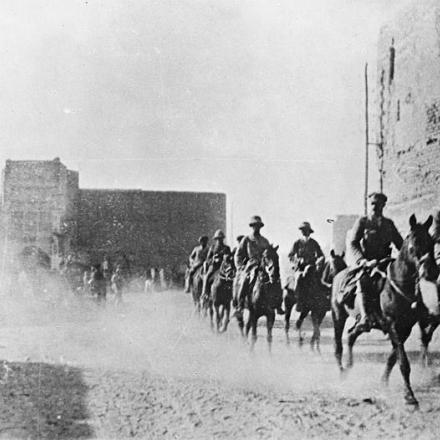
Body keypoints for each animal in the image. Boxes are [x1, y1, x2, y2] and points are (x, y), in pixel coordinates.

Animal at [332, 215, 438, 408]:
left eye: (432, 242)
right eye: (413, 245)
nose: (431, 271)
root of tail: (338, 275)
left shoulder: (404, 329)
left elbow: (393, 358)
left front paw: (384, 383)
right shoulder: (393, 326)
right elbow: (403, 362)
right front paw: (410, 396)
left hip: (363, 323)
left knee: (351, 335)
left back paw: (349, 367)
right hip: (338, 315)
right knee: (338, 345)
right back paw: (342, 374)